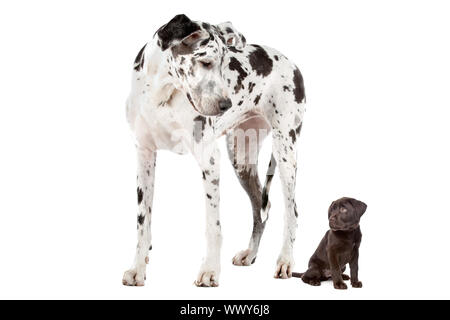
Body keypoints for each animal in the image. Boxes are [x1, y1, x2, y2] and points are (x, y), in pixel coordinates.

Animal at [123, 14, 306, 288]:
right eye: (205, 62)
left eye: (223, 64)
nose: (225, 104)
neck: (161, 95)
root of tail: (291, 63)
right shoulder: (144, 155)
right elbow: (143, 222)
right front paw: (138, 268)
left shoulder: (209, 160)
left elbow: (213, 226)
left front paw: (209, 270)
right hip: (241, 157)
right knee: (261, 209)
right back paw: (250, 253)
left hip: (285, 151)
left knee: (291, 211)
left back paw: (285, 261)